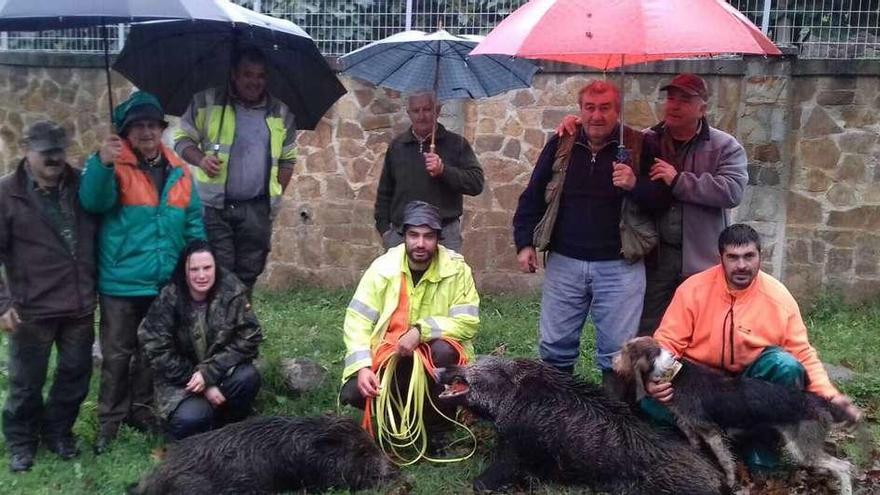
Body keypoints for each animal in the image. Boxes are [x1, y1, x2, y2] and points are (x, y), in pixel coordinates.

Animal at [612, 338, 852, 495]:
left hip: (801, 447)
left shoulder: (711, 431)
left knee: (845, 467)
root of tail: (821, 402)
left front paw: (730, 482)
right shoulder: (690, 426)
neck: (674, 374)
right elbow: (694, 444)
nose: (612, 361)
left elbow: (725, 460)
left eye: (624, 351)